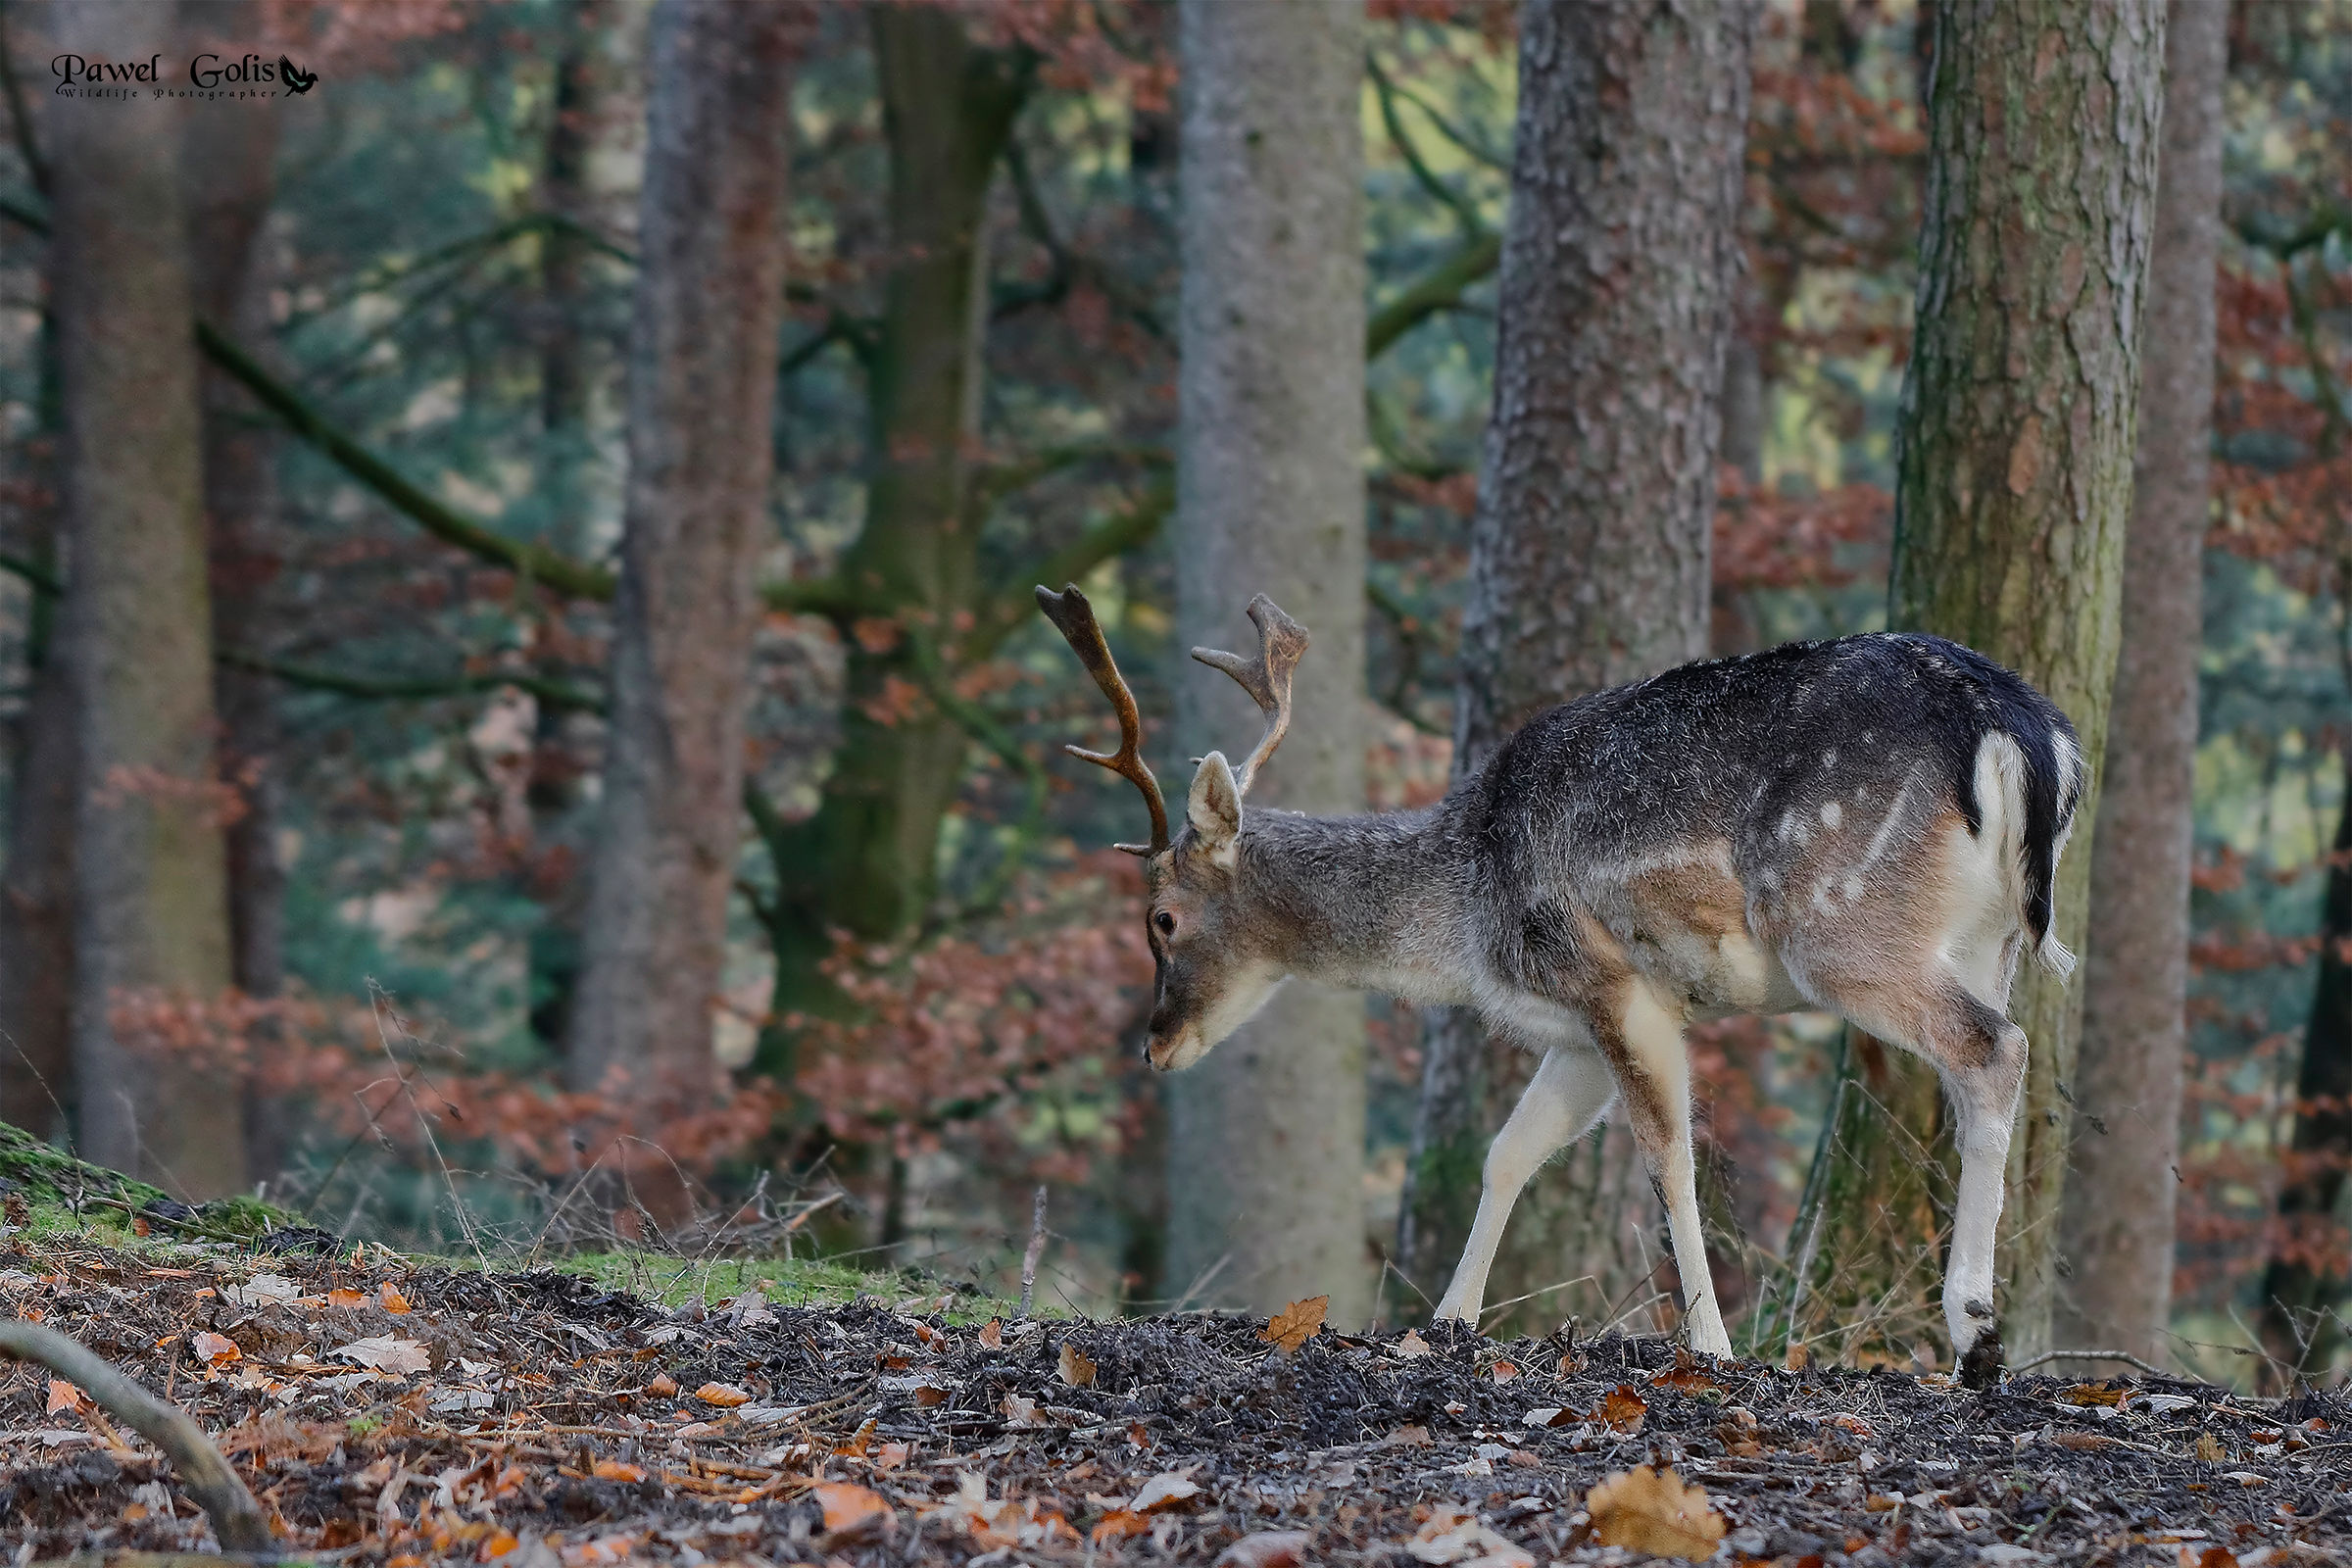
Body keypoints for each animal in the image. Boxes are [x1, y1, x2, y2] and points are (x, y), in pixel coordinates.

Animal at [1035, 583, 2082, 1383]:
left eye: (1161, 920)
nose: (1155, 1044)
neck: (1469, 917)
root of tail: (2025, 736)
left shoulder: (1618, 987)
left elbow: (1668, 1158)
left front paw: (1712, 1345)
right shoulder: (1576, 1032)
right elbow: (1509, 1153)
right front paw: (1446, 1324)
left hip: (1840, 925)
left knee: (1994, 1046)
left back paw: (1976, 1334)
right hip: (1987, 938)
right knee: (1989, 1059)